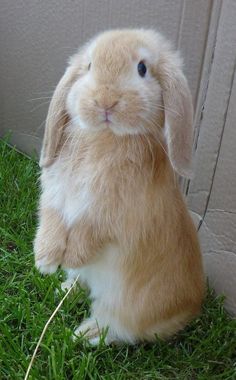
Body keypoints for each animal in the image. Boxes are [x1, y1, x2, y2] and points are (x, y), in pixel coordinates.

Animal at [34, 29, 206, 344]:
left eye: (142, 68)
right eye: (89, 65)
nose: (105, 101)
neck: (105, 138)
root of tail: (190, 309)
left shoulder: (112, 217)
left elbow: (90, 232)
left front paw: (71, 256)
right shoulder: (54, 196)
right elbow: (51, 221)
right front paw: (46, 261)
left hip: (128, 304)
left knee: (116, 327)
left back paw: (85, 334)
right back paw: (66, 288)